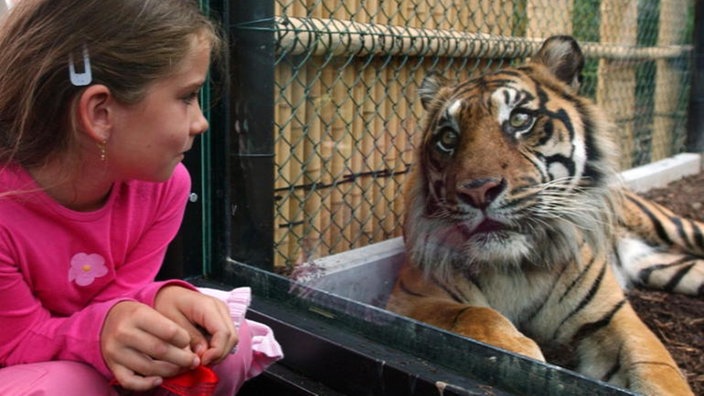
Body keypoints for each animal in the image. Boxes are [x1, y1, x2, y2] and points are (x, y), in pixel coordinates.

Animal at [388, 34, 700, 396]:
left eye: (520, 119)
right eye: (448, 137)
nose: (478, 191)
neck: (514, 266)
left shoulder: (611, 315)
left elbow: (657, 369)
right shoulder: (413, 297)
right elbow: (475, 315)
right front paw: (521, 355)